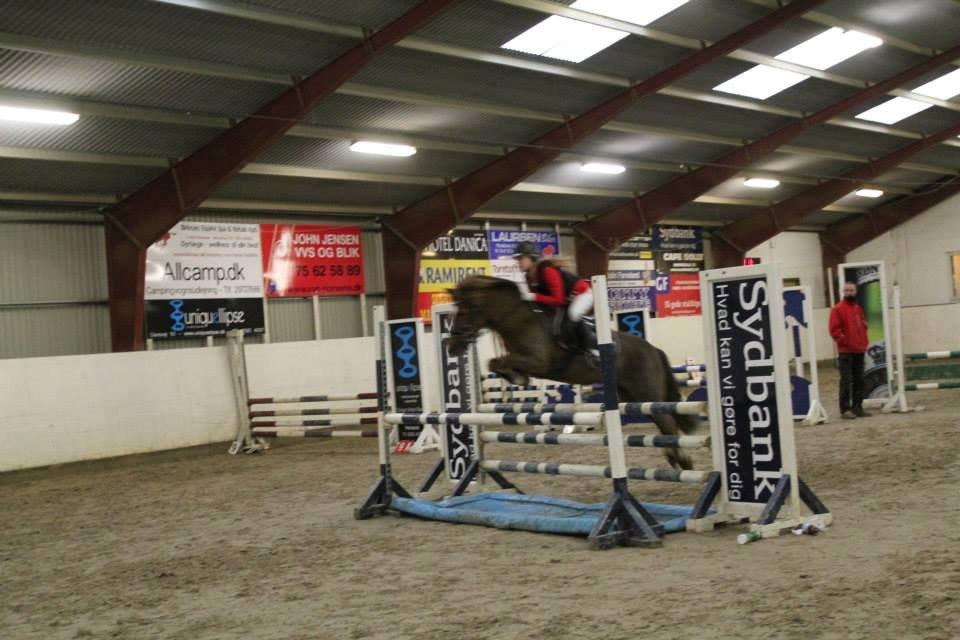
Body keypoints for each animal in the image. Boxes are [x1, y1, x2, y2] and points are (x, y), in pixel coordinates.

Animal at [447, 275, 702, 471]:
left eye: (468, 309)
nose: (452, 345)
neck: (519, 319)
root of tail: (653, 350)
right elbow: (494, 363)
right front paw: (514, 375)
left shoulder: (539, 362)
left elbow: (501, 361)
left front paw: (516, 375)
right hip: (634, 398)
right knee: (663, 424)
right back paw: (674, 459)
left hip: (647, 393)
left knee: (668, 423)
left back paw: (684, 461)